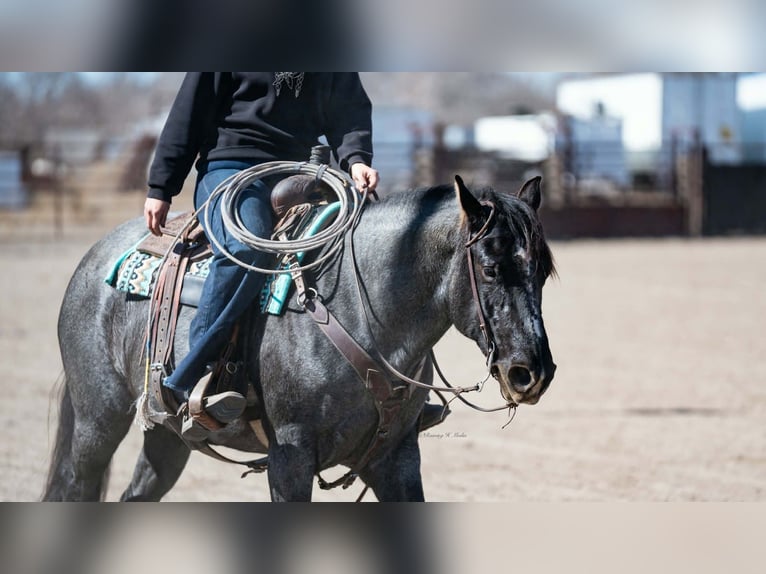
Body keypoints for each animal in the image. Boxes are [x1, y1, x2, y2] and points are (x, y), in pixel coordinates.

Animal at [43, 175, 556, 501]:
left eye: (542, 271)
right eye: (490, 269)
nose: (532, 373)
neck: (361, 313)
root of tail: (96, 256)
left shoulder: (397, 459)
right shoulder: (289, 459)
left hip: (167, 438)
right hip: (98, 420)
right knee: (75, 487)